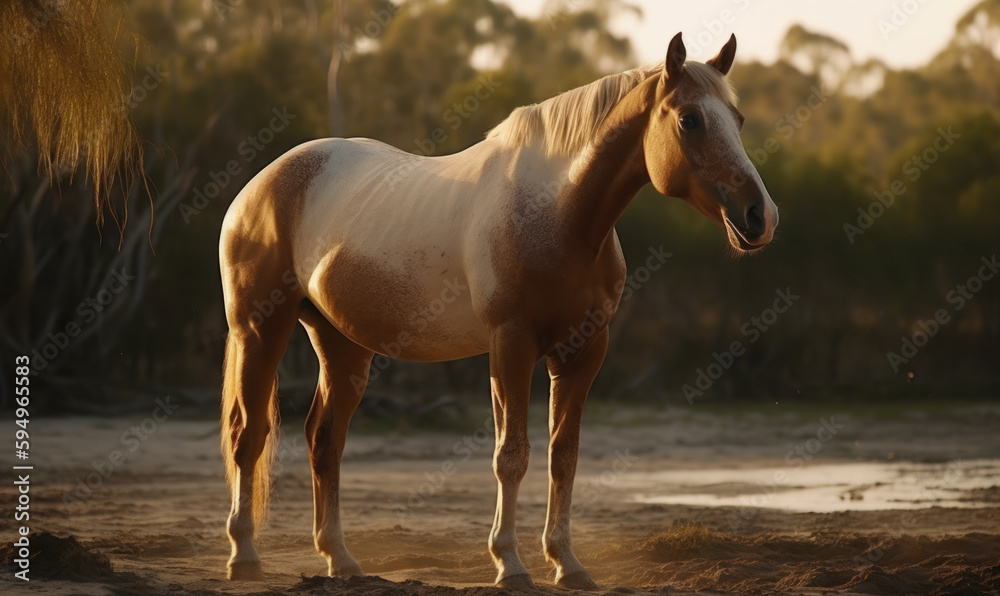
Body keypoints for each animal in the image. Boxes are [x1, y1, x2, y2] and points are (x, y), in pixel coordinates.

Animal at [219, 32, 777, 590]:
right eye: (689, 119)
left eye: (738, 118)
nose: (760, 216)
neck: (556, 212)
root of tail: (259, 185)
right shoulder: (511, 346)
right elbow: (511, 455)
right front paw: (510, 563)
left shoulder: (582, 353)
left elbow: (563, 456)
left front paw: (566, 562)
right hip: (260, 330)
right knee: (250, 435)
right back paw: (244, 555)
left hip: (342, 345)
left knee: (324, 439)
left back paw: (340, 559)